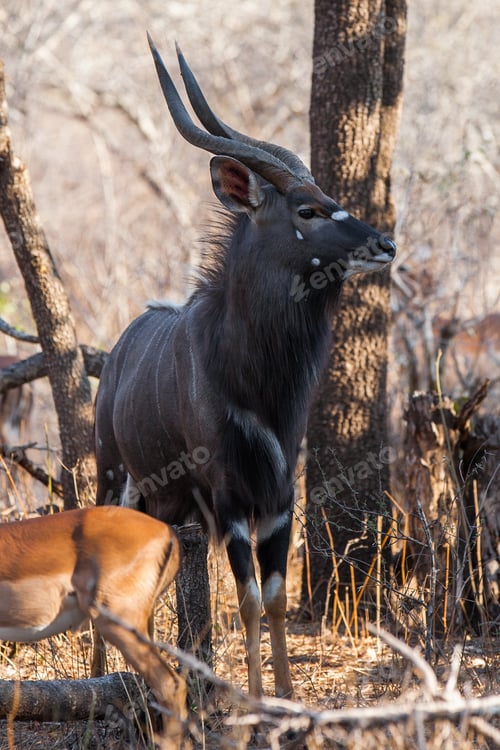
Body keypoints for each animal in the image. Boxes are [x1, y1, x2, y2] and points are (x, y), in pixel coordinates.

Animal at [95, 37, 397, 699]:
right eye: (309, 210)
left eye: (332, 201)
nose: (387, 244)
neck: (257, 382)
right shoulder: (231, 495)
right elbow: (251, 598)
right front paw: (257, 700)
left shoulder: (280, 496)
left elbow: (278, 596)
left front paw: (286, 697)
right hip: (117, 478)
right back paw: (106, 676)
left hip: (172, 510)